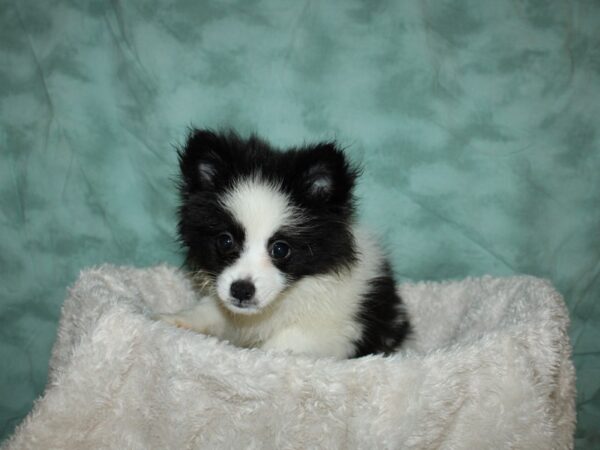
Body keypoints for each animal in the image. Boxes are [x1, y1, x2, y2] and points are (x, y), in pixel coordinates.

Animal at [157, 129, 410, 358]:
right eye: (226, 241)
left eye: (280, 249)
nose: (241, 290)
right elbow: (209, 310)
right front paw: (174, 319)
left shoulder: (335, 332)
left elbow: (284, 344)